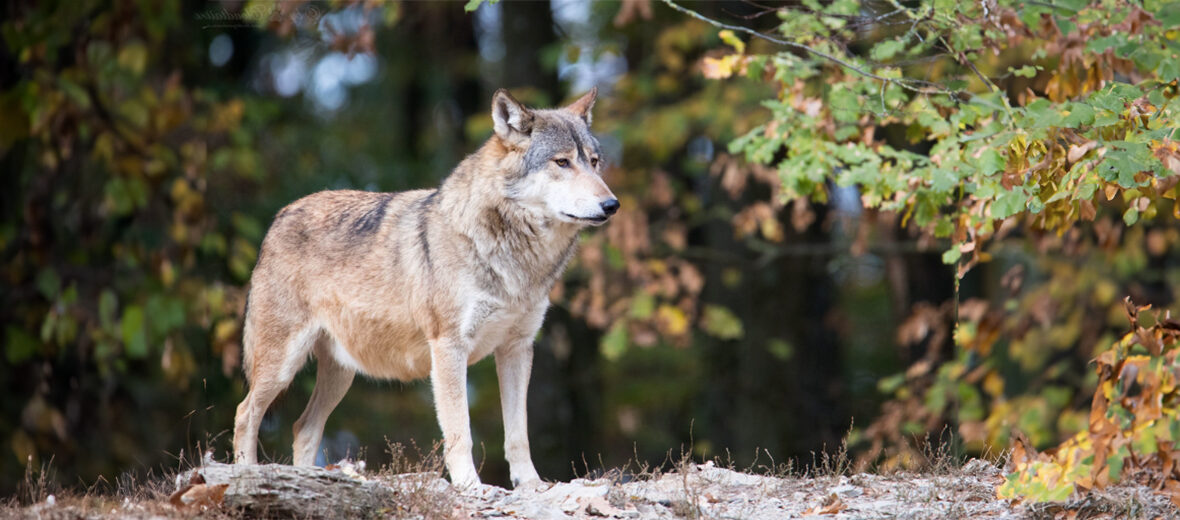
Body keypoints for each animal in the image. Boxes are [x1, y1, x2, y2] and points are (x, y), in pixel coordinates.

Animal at [231, 87, 618, 488]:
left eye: (594, 162)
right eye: (562, 162)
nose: (612, 204)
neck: (516, 258)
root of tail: (279, 216)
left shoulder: (517, 348)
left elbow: (518, 434)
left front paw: (531, 485)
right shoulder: (448, 346)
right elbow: (460, 431)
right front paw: (470, 486)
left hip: (341, 373)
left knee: (303, 428)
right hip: (283, 365)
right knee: (245, 413)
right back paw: (247, 473)